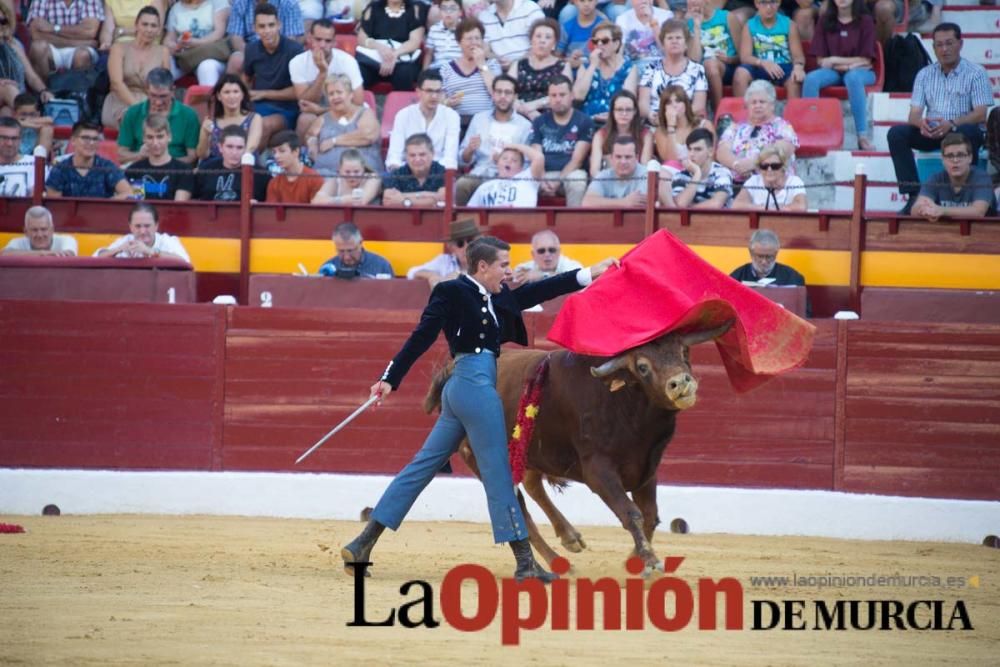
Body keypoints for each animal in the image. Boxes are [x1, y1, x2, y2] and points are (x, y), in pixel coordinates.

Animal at [424, 320, 736, 572]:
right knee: (517, 507)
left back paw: (569, 538)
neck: (625, 404)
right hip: (481, 458)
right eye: (642, 366)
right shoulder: (598, 471)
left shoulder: (647, 469)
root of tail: (452, 369)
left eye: (684, 352)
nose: (681, 384)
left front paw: (635, 559)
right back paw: (551, 563)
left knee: (532, 485)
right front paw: (649, 560)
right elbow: (630, 512)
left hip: (531, 451)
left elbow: (650, 515)